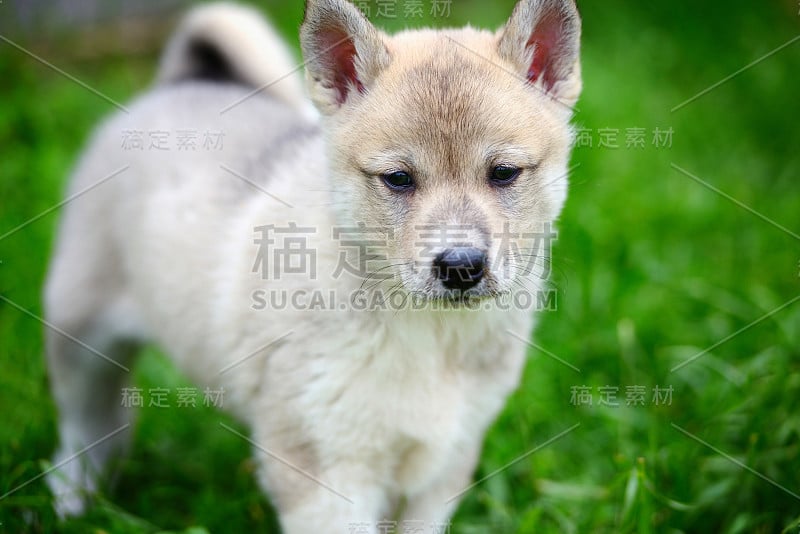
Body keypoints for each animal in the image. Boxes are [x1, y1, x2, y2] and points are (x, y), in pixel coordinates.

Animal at [45, 0, 580, 532]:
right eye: (398, 179)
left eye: (503, 173)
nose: (461, 266)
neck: (428, 332)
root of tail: (178, 84)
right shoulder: (324, 466)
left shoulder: (443, 465)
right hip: (80, 336)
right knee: (85, 429)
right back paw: (73, 501)